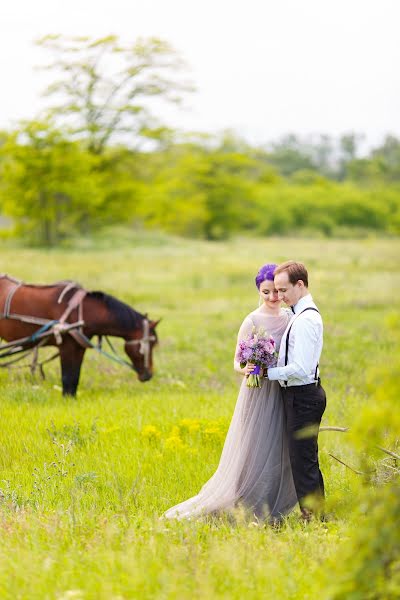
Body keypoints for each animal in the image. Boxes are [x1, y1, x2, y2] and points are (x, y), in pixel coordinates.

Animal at [0, 274, 159, 396]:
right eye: (149, 344)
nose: (148, 375)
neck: (82, 311)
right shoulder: (66, 347)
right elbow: (67, 378)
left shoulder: (79, 347)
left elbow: (74, 378)